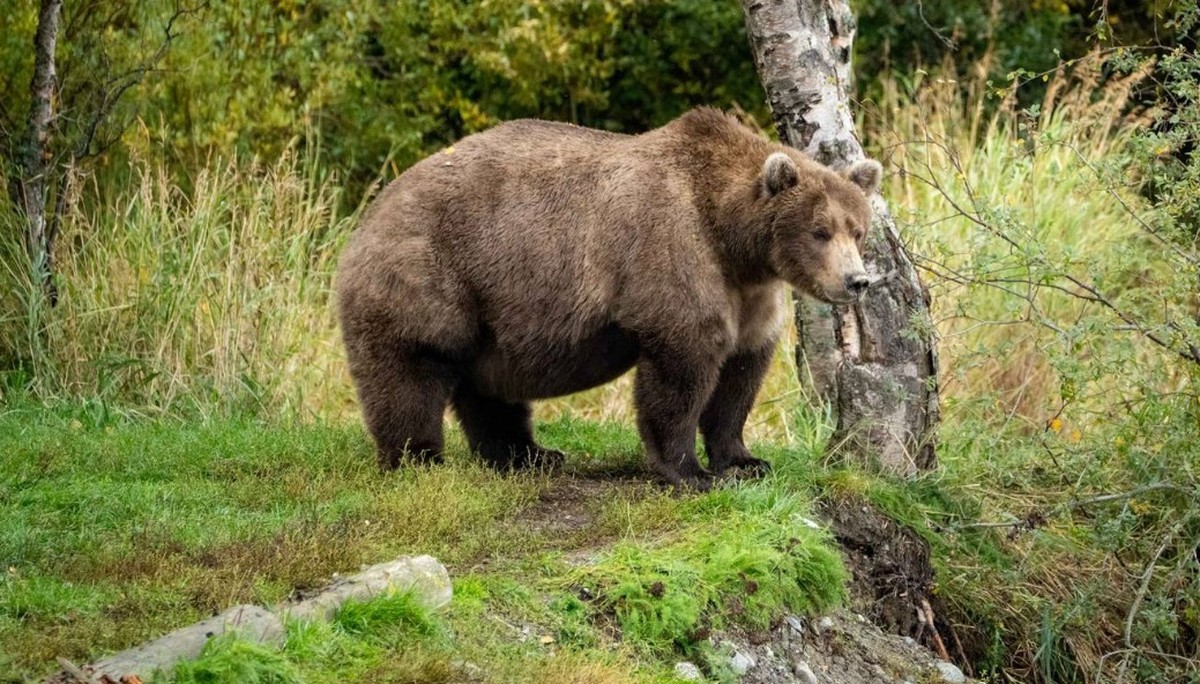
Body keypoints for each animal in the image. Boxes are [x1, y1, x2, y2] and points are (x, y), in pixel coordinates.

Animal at [335, 107, 881, 489]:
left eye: (858, 229)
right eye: (819, 231)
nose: (857, 280)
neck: (733, 241)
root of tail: (368, 216)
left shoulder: (752, 295)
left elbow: (741, 373)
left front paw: (745, 460)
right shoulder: (672, 251)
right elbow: (682, 367)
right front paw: (690, 471)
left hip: (492, 310)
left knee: (489, 387)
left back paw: (531, 455)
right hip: (429, 275)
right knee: (410, 372)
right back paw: (419, 460)